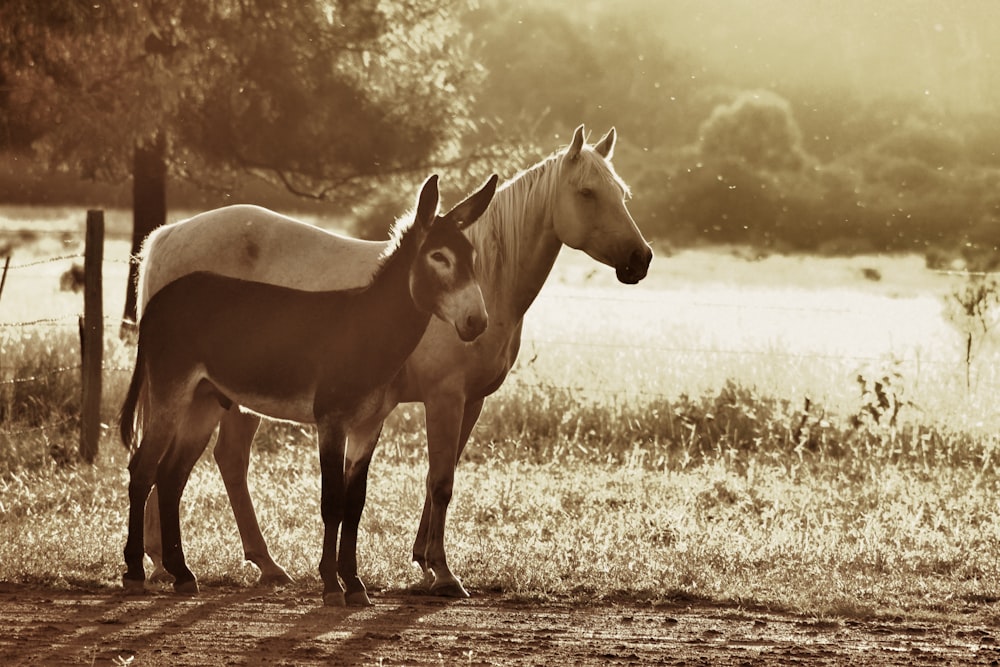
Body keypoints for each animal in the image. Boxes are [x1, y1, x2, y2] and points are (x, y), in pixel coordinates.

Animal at [135, 124, 648, 596]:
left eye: (622, 194)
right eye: (587, 192)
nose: (640, 259)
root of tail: (168, 235)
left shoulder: (470, 402)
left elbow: (440, 476)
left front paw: (421, 560)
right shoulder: (443, 398)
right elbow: (440, 481)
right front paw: (441, 572)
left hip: (227, 395)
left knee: (220, 460)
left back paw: (242, 564)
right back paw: (164, 563)